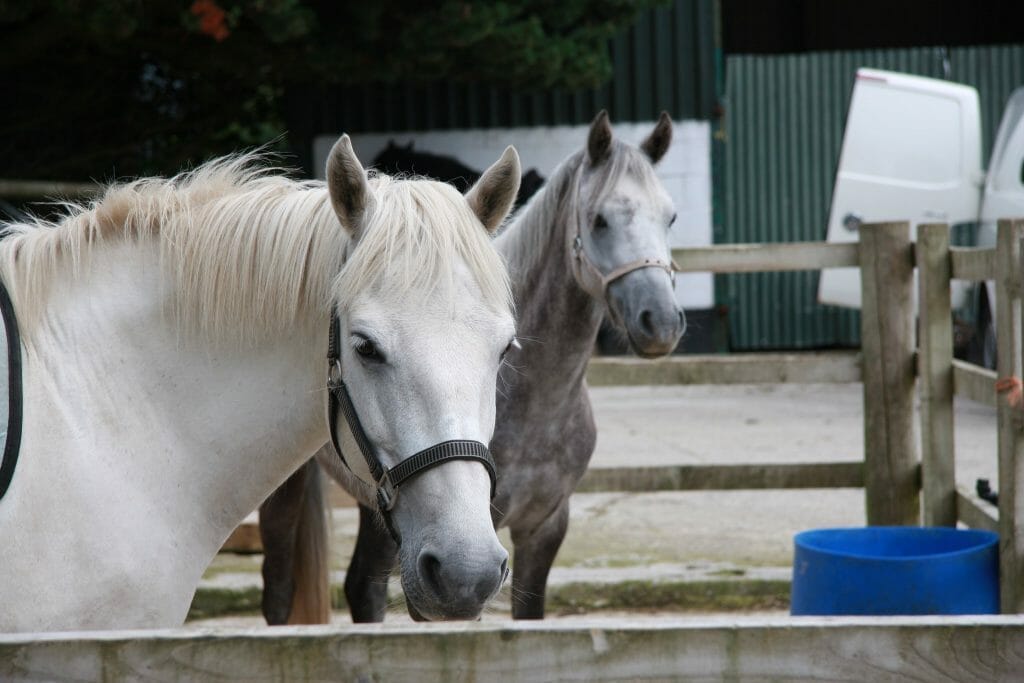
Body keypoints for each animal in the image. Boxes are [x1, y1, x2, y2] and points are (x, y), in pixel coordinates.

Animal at [260, 109, 684, 622]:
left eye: (670, 218)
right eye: (600, 220)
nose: (661, 322)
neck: (536, 401)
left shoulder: (542, 528)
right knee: (283, 590)